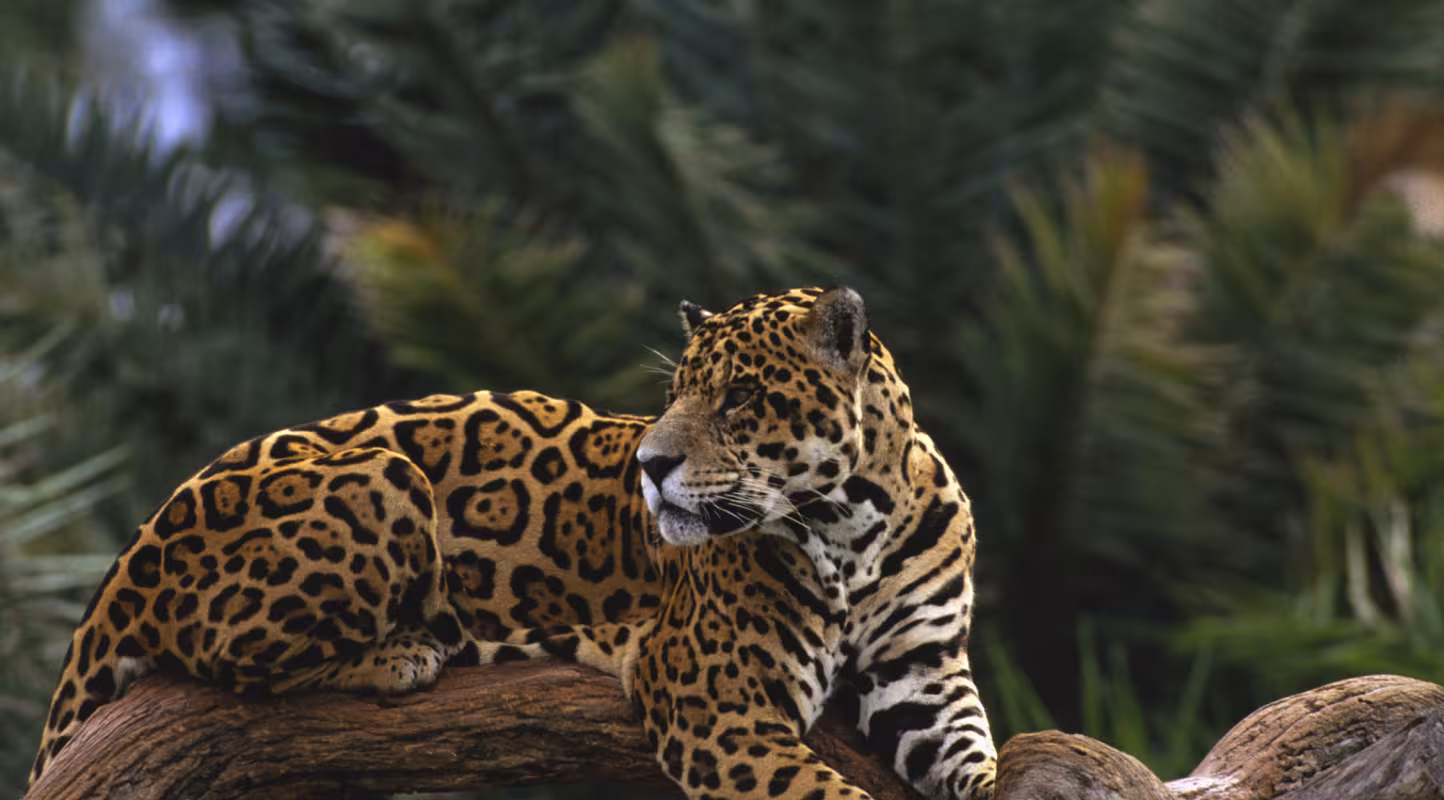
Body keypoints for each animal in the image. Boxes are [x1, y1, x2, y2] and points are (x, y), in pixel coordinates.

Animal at [28, 287, 997, 799]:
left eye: (740, 399)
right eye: (675, 395)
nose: (649, 465)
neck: (854, 521)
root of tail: (131, 555)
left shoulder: (921, 673)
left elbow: (974, 751)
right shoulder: (715, 697)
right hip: (381, 476)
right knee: (230, 660)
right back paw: (404, 652)